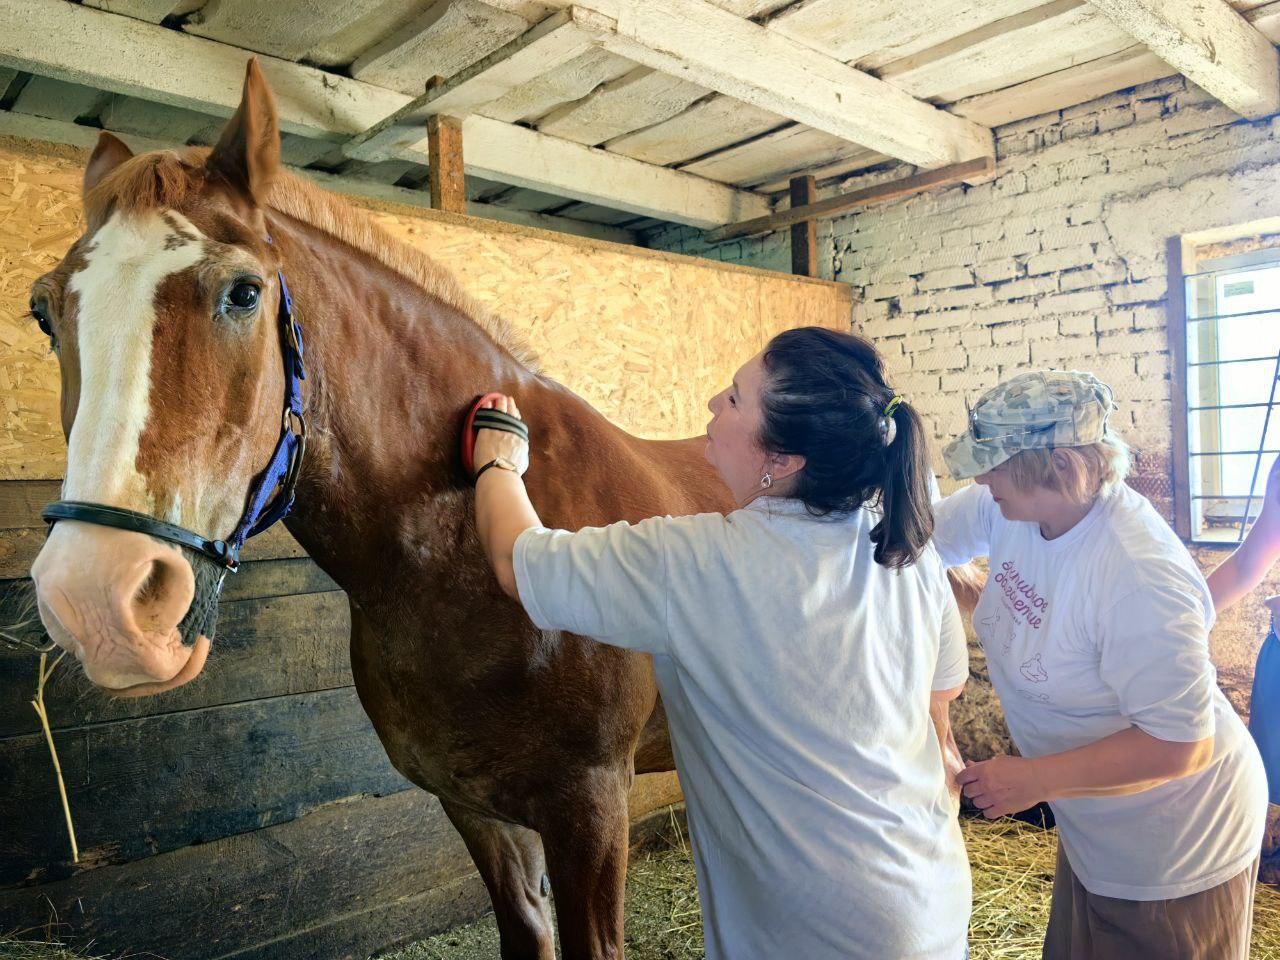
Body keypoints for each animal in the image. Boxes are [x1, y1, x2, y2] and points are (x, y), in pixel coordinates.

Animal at [27, 64, 977, 957]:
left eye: (242, 294)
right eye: (44, 310)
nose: (96, 599)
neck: (454, 552)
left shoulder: (590, 805)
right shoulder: (475, 806)